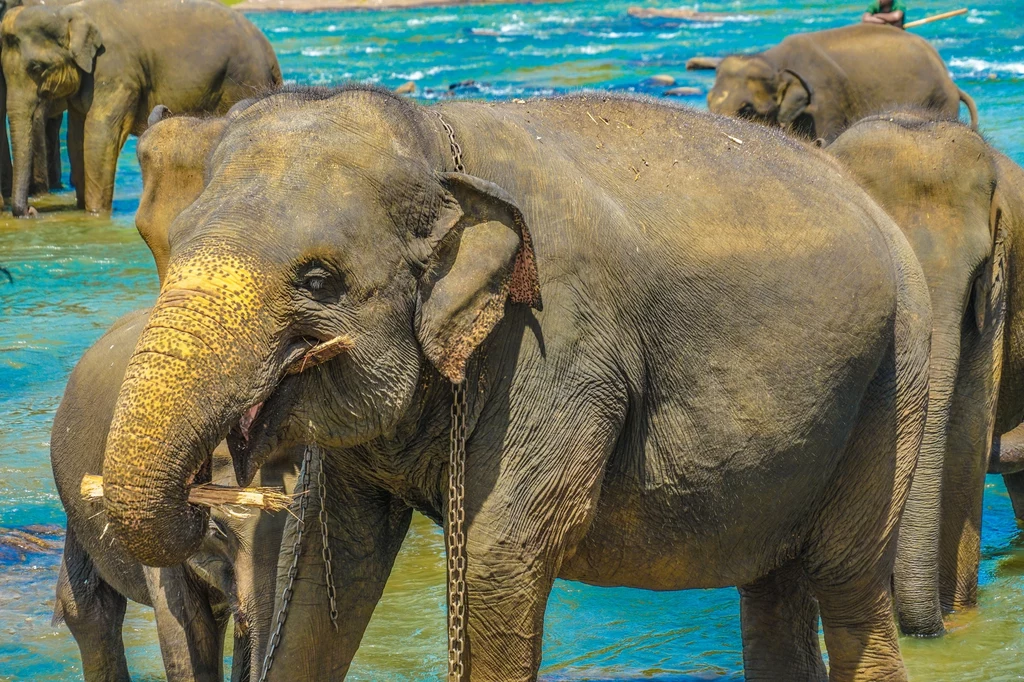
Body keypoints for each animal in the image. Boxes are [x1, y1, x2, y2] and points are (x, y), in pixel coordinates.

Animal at [0, 0, 280, 215]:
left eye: (37, 68)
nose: (31, 211)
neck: (67, 12)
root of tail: (270, 54)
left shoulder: (115, 70)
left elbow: (100, 135)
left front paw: (96, 214)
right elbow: (77, 137)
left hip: (241, 78)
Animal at [92, 86, 933, 679]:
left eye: (319, 280)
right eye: (170, 241)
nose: (206, 501)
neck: (435, 137)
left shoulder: (557, 350)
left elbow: (501, 558)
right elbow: (334, 565)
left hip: (897, 377)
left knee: (848, 585)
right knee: (773, 588)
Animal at [708, 24, 978, 144]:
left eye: (747, 110)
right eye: (708, 101)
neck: (773, 61)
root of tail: (952, 83)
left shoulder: (826, 103)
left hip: (940, 102)